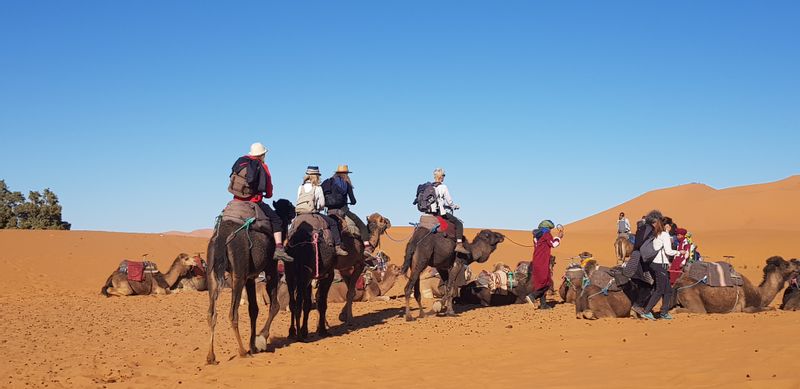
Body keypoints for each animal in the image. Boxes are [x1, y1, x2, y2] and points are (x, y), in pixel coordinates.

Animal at [205, 200, 296, 364]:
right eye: (288, 205)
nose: (294, 210)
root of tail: (222, 237)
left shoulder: (250, 278)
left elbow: (253, 309)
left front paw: (253, 345)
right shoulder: (270, 268)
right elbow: (274, 305)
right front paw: (261, 338)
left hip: (212, 272)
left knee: (211, 313)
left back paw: (211, 357)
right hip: (238, 274)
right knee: (232, 313)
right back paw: (242, 352)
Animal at [284, 212, 390, 340]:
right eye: (382, 220)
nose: (388, 221)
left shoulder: (343, 269)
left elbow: (348, 292)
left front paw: (335, 319)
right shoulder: (357, 265)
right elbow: (350, 293)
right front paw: (348, 319)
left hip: (293, 271)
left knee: (297, 300)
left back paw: (294, 331)